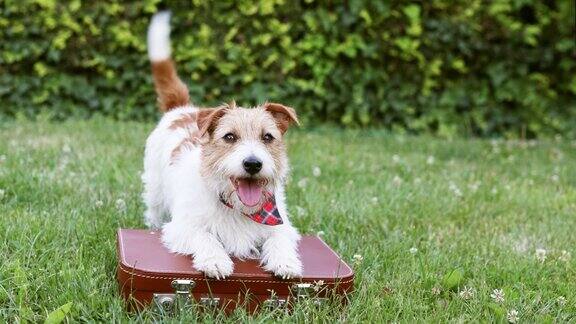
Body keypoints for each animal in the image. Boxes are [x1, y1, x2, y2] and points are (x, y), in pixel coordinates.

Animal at [142, 12, 304, 280]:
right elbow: (206, 237)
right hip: (155, 192)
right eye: (229, 137)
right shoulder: (182, 227)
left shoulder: (282, 227)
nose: (253, 164)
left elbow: (278, 239)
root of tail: (182, 109)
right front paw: (215, 261)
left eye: (267, 137)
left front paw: (286, 262)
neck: (237, 206)